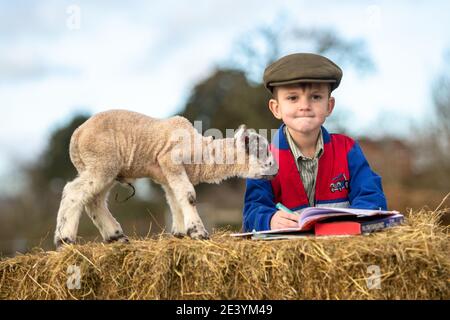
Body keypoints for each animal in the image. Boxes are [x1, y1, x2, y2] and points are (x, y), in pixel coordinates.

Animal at [53, 109, 278, 249]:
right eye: (262, 150)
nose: (275, 169)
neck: (202, 154)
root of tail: (77, 134)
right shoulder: (170, 160)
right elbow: (188, 196)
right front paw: (198, 232)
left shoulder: (167, 173)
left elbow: (175, 200)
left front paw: (180, 233)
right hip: (101, 162)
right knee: (74, 191)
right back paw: (64, 239)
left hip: (101, 167)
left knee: (94, 201)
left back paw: (116, 236)